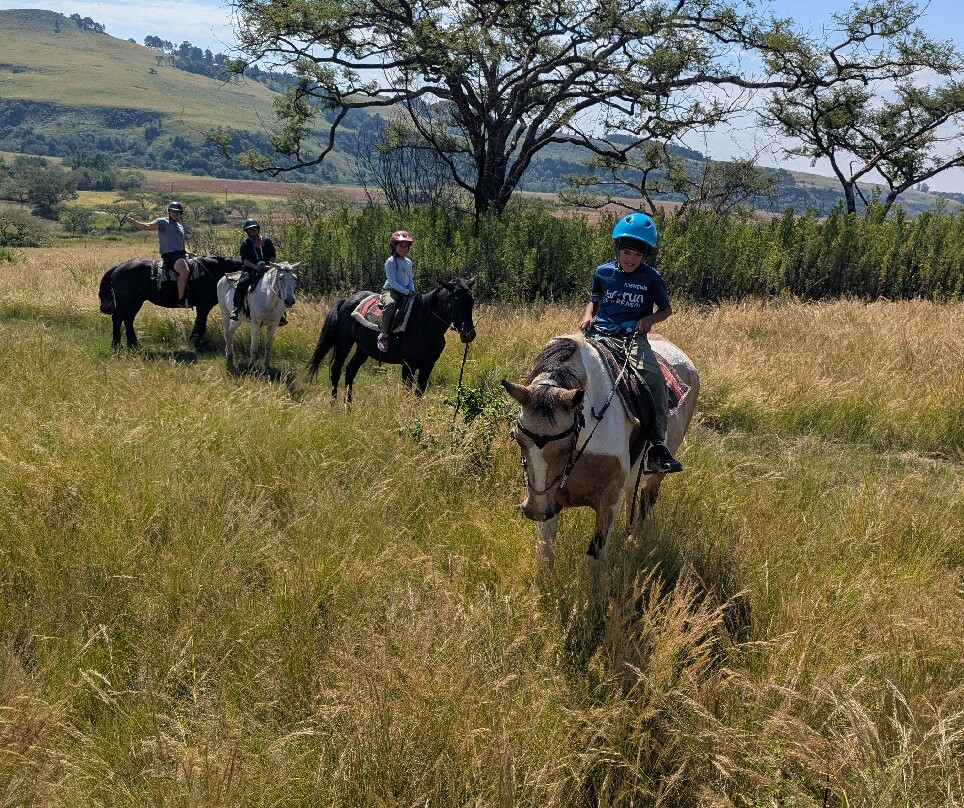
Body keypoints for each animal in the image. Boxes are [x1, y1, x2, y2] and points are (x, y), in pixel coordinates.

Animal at [98, 255, 243, 350]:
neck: (213, 270)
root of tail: (119, 267)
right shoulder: (203, 306)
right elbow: (200, 323)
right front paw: (198, 344)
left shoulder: (203, 307)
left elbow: (200, 323)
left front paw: (197, 343)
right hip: (128, 302)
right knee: (117, 318)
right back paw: (116, 345)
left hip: (135, 302)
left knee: (128, 319)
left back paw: (133, 344)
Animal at [306, 278, 477, 400]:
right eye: (455, 300)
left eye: (472, 300)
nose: (469, 334)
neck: (424, 324)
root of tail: (347, 300)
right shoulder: (408, 366)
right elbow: (407, 393)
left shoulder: (428, 366)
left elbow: (418, 393)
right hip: (344, 342)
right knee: (336, 370)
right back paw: (334, 406)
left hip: (362, 349)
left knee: (350, 371)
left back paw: (348, 407)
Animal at [502, 332, 699, 570]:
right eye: (517, 439)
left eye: (566, 447)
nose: (534, 510)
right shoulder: (550, 499)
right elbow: (544, 552)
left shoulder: (608, 502)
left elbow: (594, 559)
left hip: (657, 475)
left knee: (646, 501)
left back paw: (634, 540)